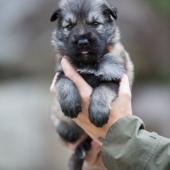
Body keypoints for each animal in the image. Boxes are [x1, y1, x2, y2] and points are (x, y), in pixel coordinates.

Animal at [50, 0, 134, 169]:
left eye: (95, 23)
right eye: (69, 26)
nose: (82, 42)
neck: (89, 62)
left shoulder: (115, 77)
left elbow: (102, 89)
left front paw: (98, 112)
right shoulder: (62, 72)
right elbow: (65, 82)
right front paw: (70, 103)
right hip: (66, 128)